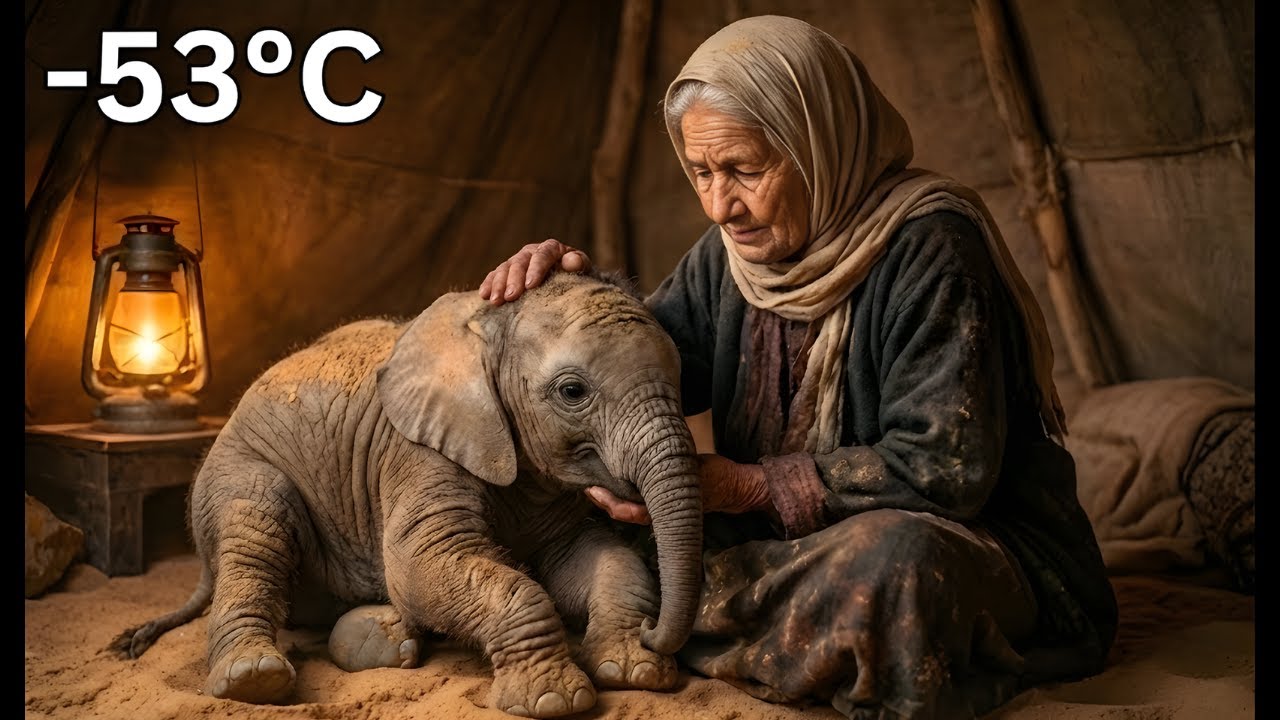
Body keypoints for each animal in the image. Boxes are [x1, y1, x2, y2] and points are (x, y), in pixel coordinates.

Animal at [109, 270, 704, 718]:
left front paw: (633, 670)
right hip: (235, 474)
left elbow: (601, 559)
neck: (484, 325)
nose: (653, 633)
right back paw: (253, 679)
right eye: (573, 391)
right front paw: (554, 700)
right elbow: (421, 563)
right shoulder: (416, 452)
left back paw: (383, 638)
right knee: (256, 526)